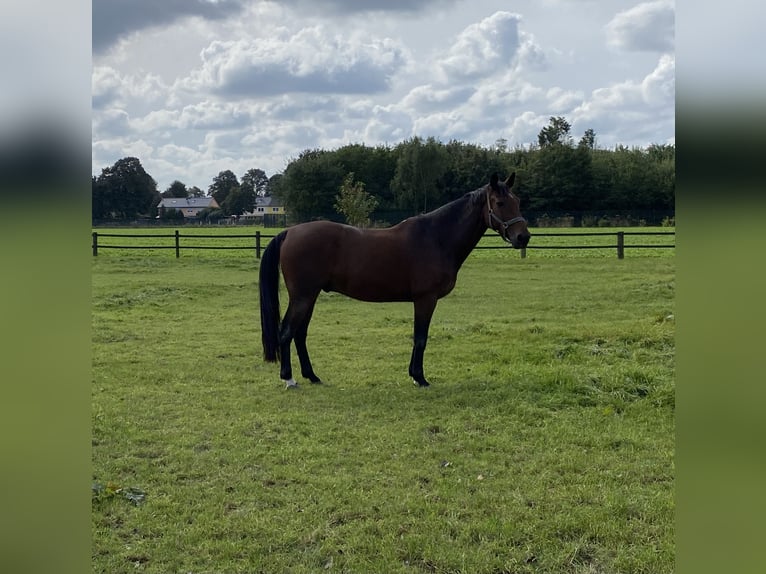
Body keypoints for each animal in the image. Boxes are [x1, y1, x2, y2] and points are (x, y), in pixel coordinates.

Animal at [260, 173, 532, 390]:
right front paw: (420, 378)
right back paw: (289, 379)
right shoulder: (425, 299)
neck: (436, 238)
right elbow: (420, 338)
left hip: (310, 296)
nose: (523, 237)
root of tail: (290, 232)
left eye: (517, 201)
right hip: (303, 296)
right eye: (499, 203)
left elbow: (417, 337)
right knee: (287, 332)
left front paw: (414, 375)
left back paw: (312, 376)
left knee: (300, 334)